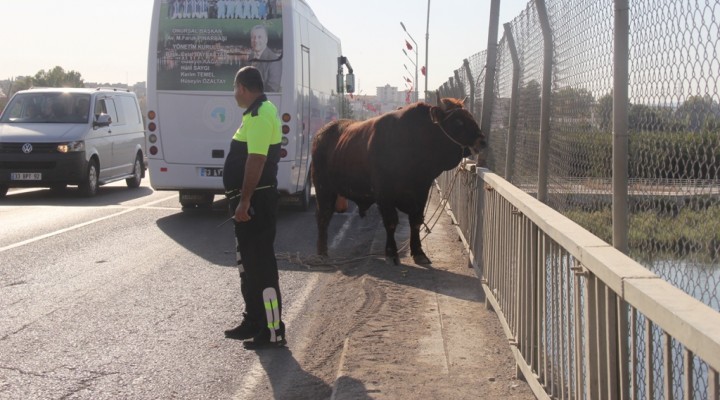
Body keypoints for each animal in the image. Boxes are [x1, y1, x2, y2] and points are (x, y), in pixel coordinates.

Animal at [310, 96, 486, 266]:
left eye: (471, 116)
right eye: (458, 121)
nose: (482, 141)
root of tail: (321, 134)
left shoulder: (421, 191)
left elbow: (416, 221)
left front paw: (419, 252)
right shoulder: (384, 194)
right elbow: (391, 222)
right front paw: (391, 253)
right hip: (323, 188)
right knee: (323, 216)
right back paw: (322, 253)